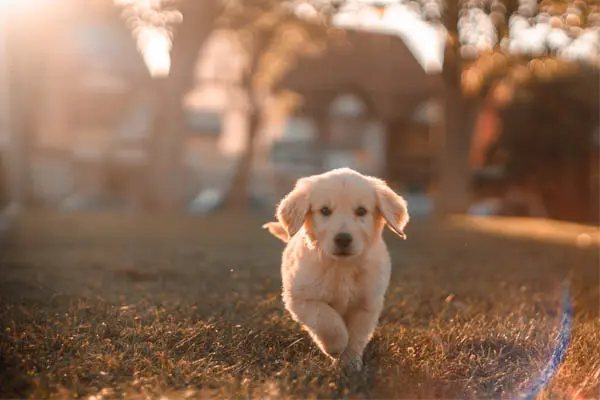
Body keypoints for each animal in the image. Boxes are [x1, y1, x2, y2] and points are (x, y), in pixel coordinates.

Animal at [266, 166, 410, 372]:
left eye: (361, 211)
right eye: (325, 210)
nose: (343, 239)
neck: (342, 267)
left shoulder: (366, 303)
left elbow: (356, 337)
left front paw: (349, 364)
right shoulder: (301, 298)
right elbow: (327, 320)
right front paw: (335, 347)